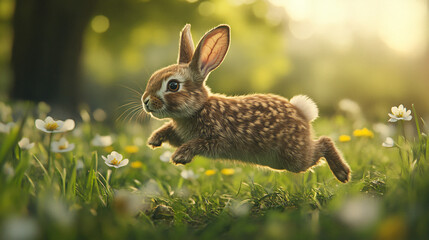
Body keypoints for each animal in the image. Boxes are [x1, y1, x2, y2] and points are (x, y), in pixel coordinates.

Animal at [142, 23, 350, 182]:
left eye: (173, 85)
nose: (146, 101)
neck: (199, 108)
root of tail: (302, 112)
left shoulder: (219, 139)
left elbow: (200, 144)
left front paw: (179, 156)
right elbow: (171, 131)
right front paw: (154, 140)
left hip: (293, 157)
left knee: (323, 143)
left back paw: (343, 174)